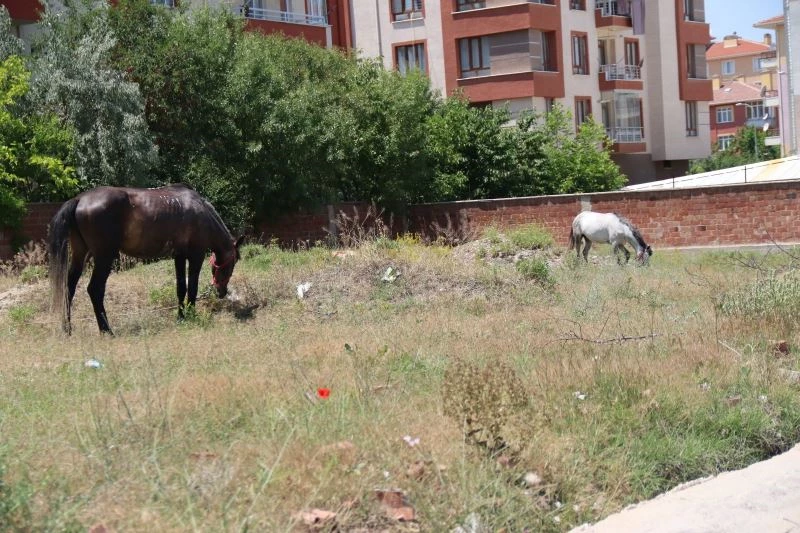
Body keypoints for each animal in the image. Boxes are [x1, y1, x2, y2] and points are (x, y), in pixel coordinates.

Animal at [48, 184, 243, 335]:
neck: (200, 211)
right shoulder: (196, 256)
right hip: (104, 257)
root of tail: (80, 199)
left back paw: (67, 329)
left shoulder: (179, 256)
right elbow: (193, 287)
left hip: (80, 255)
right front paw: (191, 314)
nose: (222, 292)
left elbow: (181, 287)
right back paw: (107, 331)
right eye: (232, 265)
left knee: (69, 288)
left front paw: (181, 317)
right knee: (95, 289)